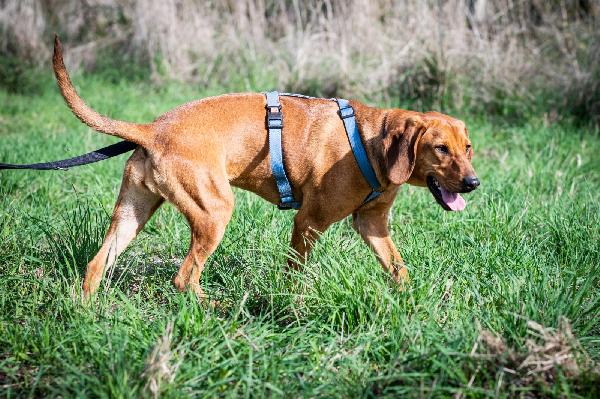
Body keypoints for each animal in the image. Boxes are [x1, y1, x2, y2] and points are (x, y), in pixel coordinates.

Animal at [50, 38, 478, 300]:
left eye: (468, 148)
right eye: (440, 149)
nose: (474, 182)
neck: (373, 143)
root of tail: (152, 129)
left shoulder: (372, 224)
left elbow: (397, 268)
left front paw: (412, 302)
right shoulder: (308, 222)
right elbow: (295, 272)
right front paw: (293, 303)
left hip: (133, 213)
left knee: (97, 263)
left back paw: (87, 313)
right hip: (214, 211)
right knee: (184, 278)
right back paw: (217, 311)